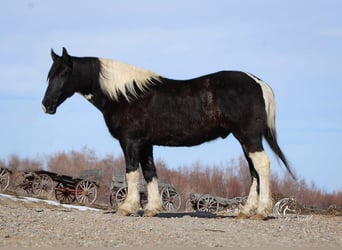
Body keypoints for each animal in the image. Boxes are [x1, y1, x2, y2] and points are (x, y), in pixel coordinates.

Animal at [42, 47, 294, 219]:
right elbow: (150, 172)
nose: (46, 105)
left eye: (63, 74)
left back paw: (261, 211)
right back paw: (246, 211)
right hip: (246, 140)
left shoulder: (130, 142)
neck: (126, 95)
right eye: (49, 74)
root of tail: (258, 82)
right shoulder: (146, 144)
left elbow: (132, 172)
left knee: (262, 166)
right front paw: (152, 209)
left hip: (248, 137)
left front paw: (127, 207)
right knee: (253, 172)